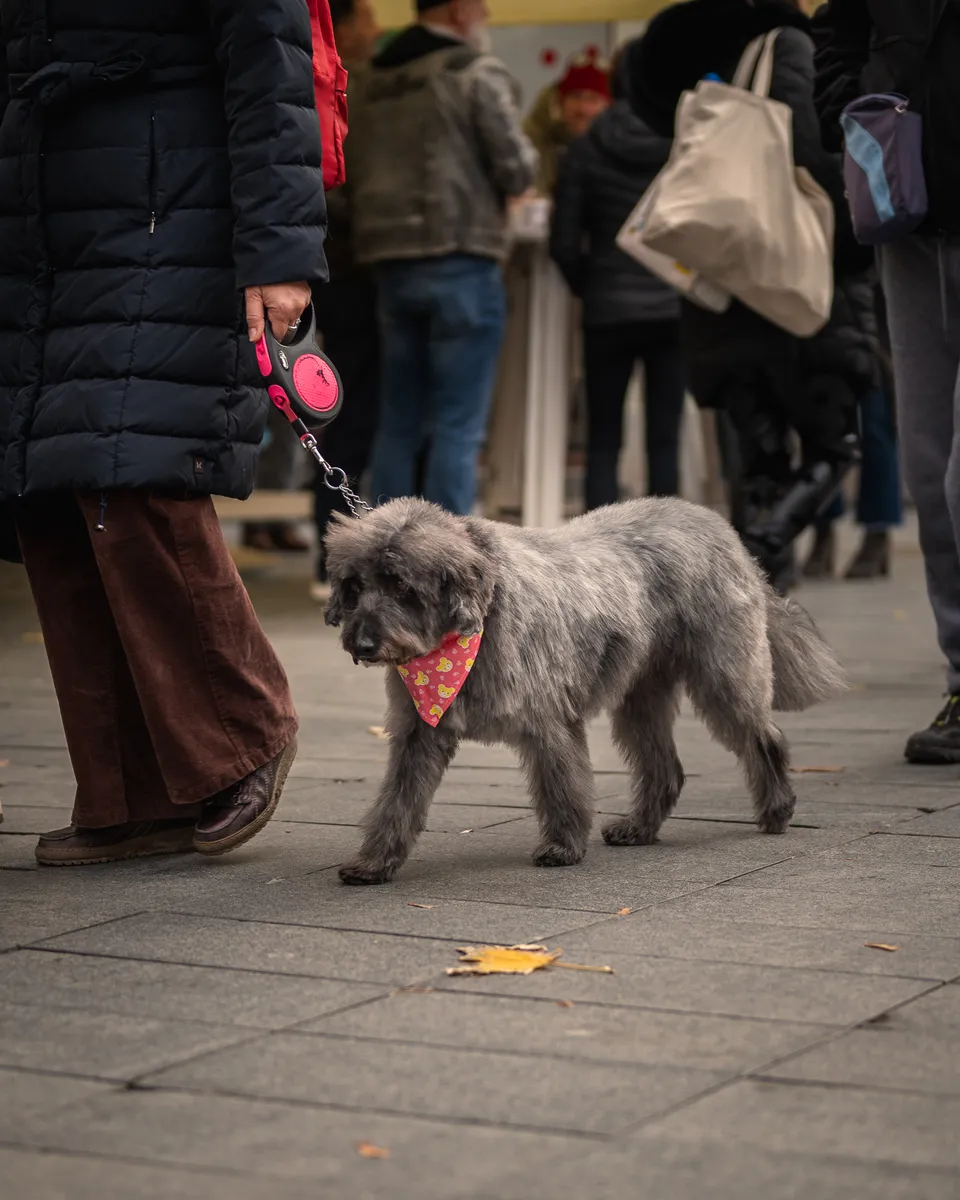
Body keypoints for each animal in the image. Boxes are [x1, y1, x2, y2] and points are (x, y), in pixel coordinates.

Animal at [326, 494, 844, 883]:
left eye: (401, 586)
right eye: (355, 586)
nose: (363, 643)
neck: (473, 625)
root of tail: (721, 527)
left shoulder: (550, 724)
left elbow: (563, 787)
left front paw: (563, 846)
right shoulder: (419, 735)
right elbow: (398, 801)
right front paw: (374, 861)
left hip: (725, 678)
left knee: (763, 739)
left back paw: (777, 809)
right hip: (641, 698)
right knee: (665, 769)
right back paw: (640, 827)